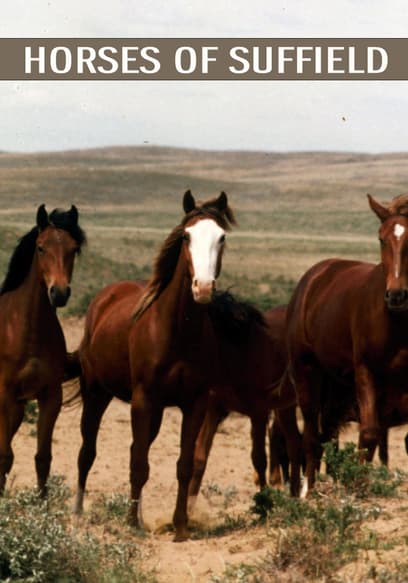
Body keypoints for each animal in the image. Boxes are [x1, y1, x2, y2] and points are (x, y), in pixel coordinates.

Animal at [0, 205, 84, 498]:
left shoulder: (50, 396)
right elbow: (5, 455)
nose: (58, 292)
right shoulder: (5, 395)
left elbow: (43, 457)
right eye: (40, 247)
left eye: (73, 249)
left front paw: (41, 500)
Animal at [73, 192, 236, 544]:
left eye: (221, 237)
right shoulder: (143, 400)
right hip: (96, 393)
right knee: (87, 450)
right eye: (186, 236)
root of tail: (103, 298)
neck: (178, 331)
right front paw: (132, 524)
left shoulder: (195, 404)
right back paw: (78, 510)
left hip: (155, 412)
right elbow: (138, 464)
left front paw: (181, 526)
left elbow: (183, 465)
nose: (203, 288)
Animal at [187, 302, 300, 512]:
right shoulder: (213, 411)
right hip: (285, 407)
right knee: (294, 441)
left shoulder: (259, 413)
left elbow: (259, 458)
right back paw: (294, 495)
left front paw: (264, 504)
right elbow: (199, 456)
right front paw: (188, 510)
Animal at [286, 196, 408, 498]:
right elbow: (370, 432)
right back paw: (309, 492)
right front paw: (359, 484)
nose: (396, 296)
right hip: (307, 374)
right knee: (312, 439)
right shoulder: (365, 371)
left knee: (328, 434)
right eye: (381, 238)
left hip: (337, 387)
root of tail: (313, 277)